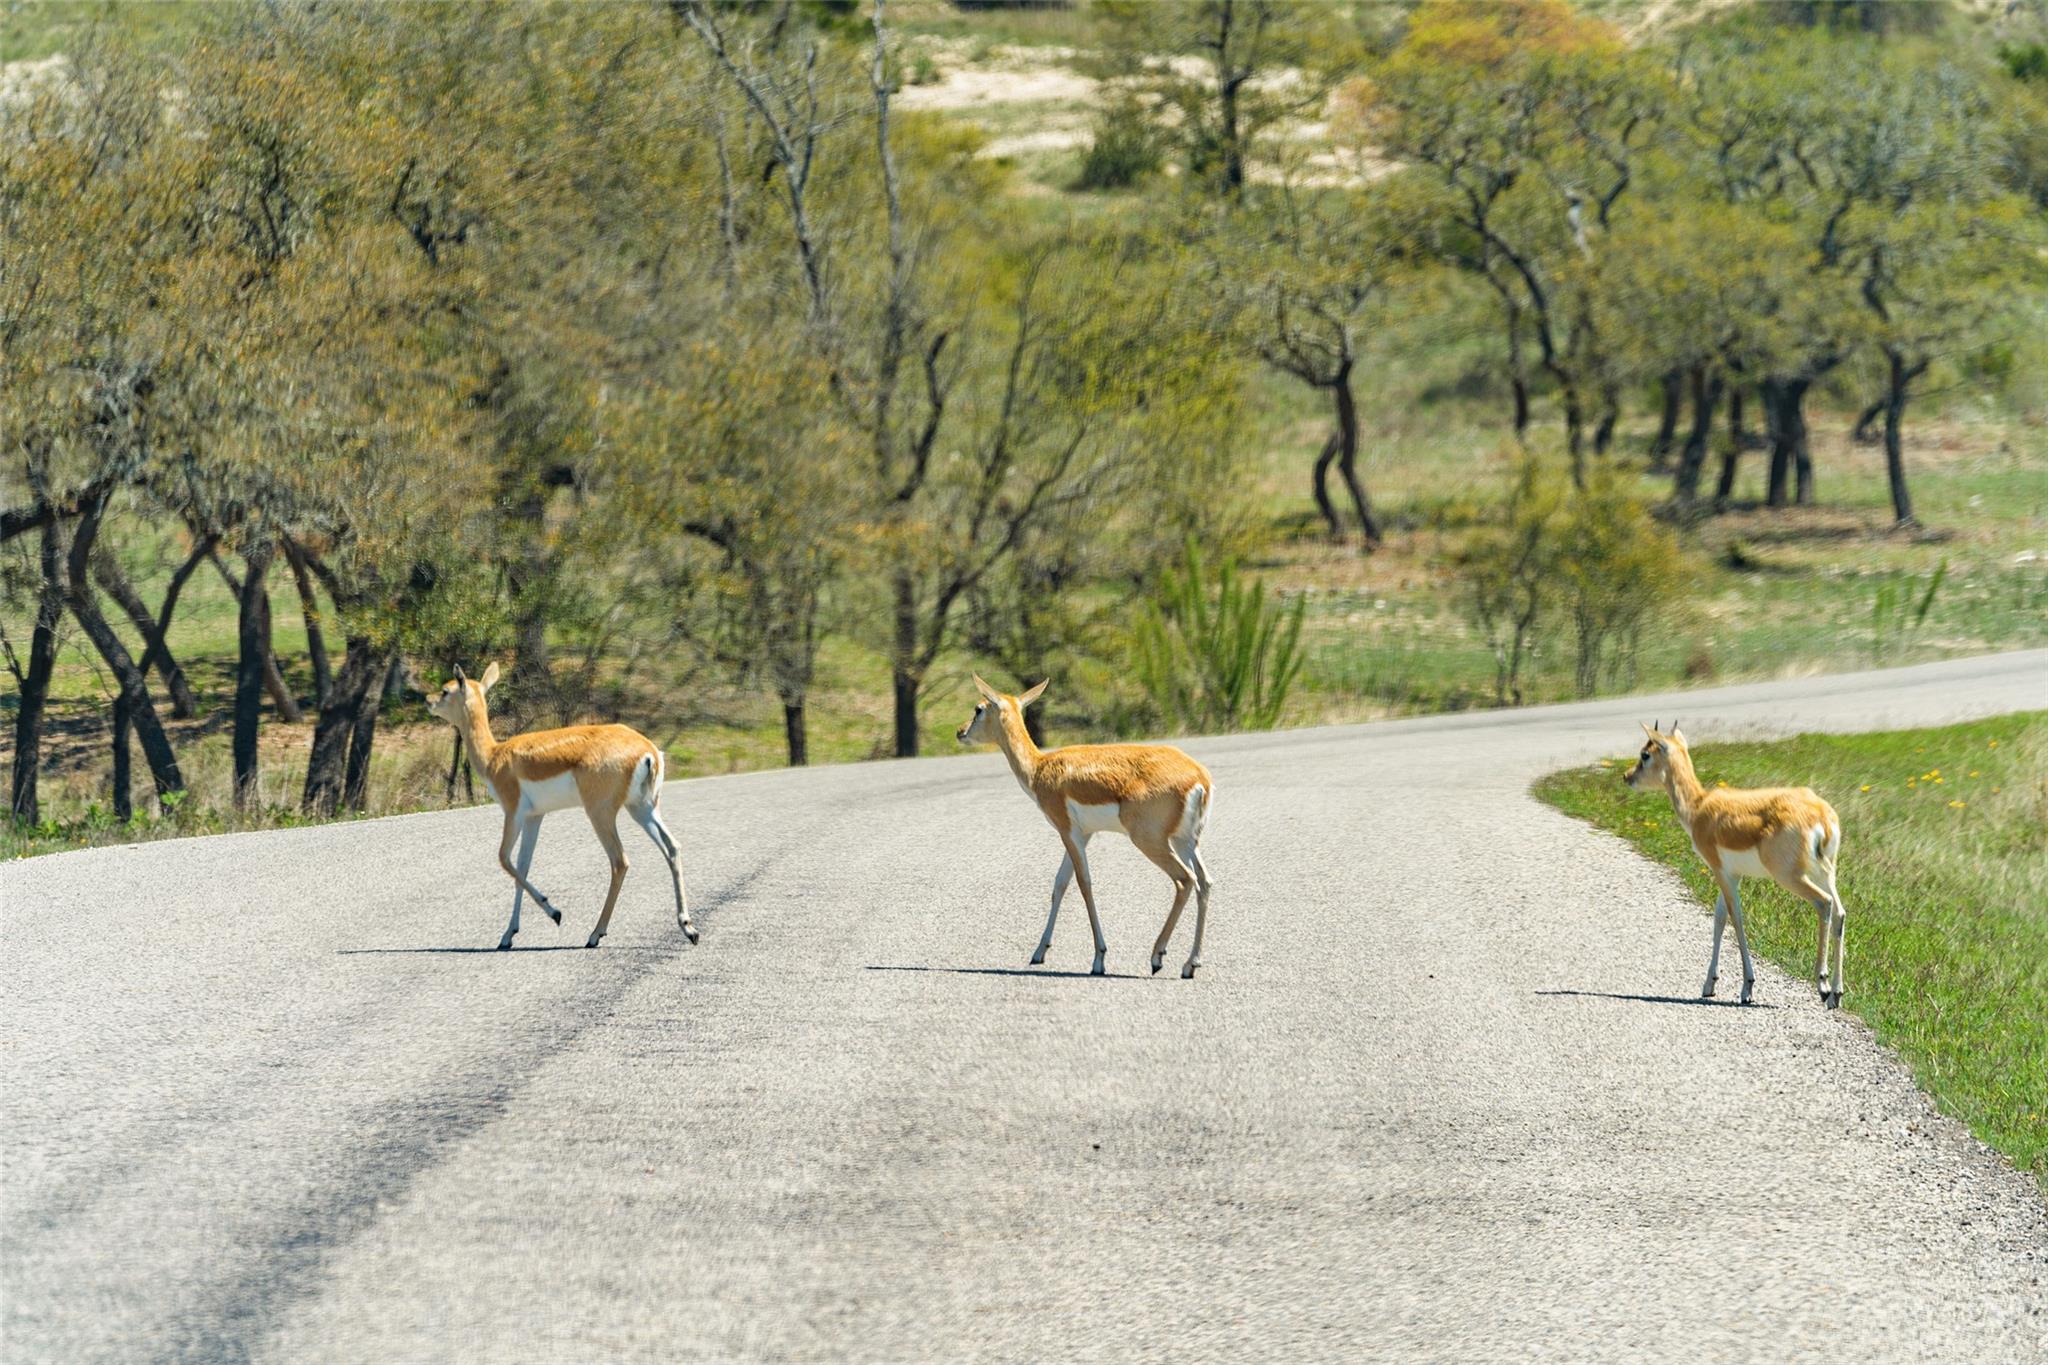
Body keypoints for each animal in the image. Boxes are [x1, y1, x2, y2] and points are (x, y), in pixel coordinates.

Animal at [427, 663, 697, 951]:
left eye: (445, 690)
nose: (428, 700)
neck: (494, 757)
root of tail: (647, 751)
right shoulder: (535, 817)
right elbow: (523, 864)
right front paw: (509, 934)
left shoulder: (513, 811)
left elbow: (504, 858)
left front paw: (554, 913)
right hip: (642, 808)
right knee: (672, 847)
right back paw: (688, 928)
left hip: (600, 812)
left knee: (620, 861)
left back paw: (595, 934)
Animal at [957, 675, 1215, 979]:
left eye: (978, 708)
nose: (959, 731)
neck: (1040, 769)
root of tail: (1199, 777)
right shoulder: (1085, 834)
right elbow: (1060, 883)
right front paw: (1039, 952)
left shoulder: (1067, 831)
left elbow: (1083, 883)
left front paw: (1099, 958)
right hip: (1184, 841)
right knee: (1204, 882)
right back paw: (1190, 963)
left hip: (1151, 841)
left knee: (1185, 880)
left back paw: (1157, 957)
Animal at [1625, 722, 1845, 1008]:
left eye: (1645, 754)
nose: (1627, 776)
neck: (1699, 808)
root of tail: (1820, 814)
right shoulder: (1733, 874)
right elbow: (1719, 917)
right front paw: (1709, 985)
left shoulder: (1720, 870)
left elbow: (1735, 917)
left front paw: (1747, 987)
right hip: (1825, 872)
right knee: (1840, 912)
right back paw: (1837, 994)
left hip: (1790, 876)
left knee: (1823, 903)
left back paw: (1823, 985)